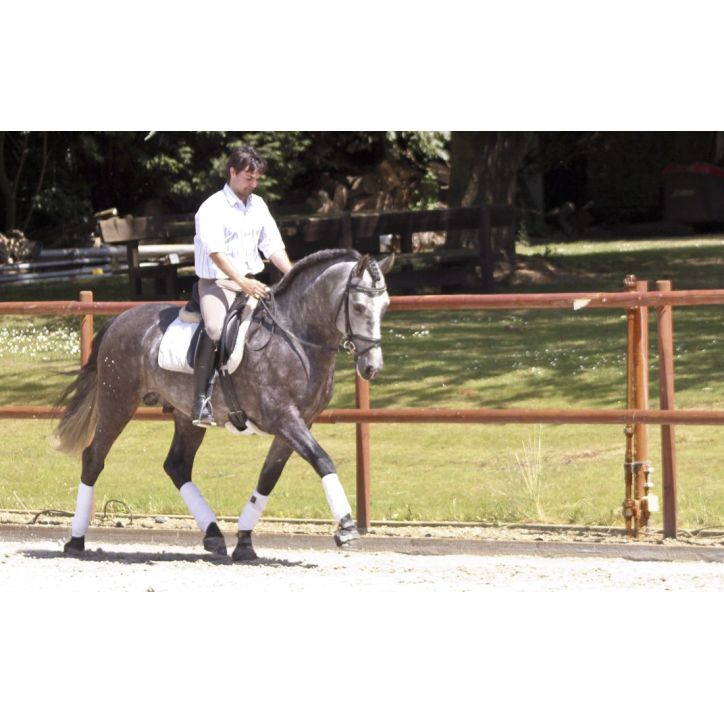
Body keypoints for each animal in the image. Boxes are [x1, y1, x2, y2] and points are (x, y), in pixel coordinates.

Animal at [51, 249, 394, 561]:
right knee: (94, 458)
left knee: (176, 466)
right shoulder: (283, 418)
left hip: (185, 417)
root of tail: (119, 319)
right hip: (117, 401)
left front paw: (244, 543)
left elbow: (268, 477)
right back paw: (75, 541)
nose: (372, 367)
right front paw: (346, 527)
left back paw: (214, 535)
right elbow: (322, 460)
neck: (296, 336)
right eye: (359, 306)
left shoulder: (299, 422)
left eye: (385, 307)